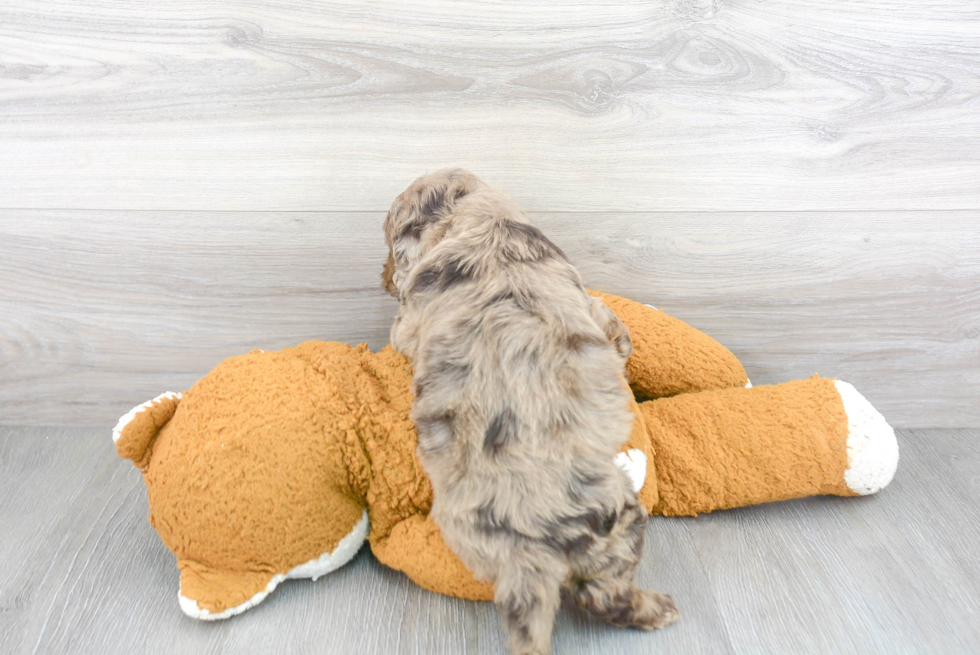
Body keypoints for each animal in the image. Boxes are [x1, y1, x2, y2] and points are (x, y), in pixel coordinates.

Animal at [380, 170, 672, 655]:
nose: (384, 279)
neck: (486, 223)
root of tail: (529, 541)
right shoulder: (588, 302)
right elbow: (615, 329)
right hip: (619, 521)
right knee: (602, 594)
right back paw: (655, 609)